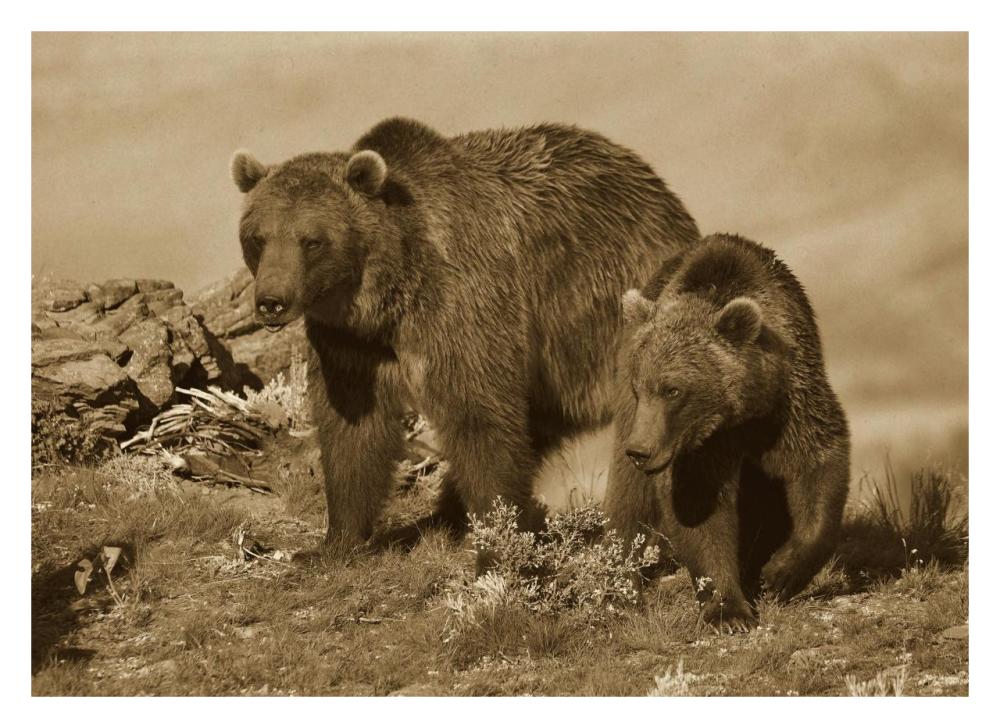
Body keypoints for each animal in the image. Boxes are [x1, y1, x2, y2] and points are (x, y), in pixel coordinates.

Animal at [229, 118, 700, 562]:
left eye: (312, 240)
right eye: (257, 237)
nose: (271, 301)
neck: (390, 297)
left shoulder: (464, 304)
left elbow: (480, 416)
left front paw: (500, 546)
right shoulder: (350, 343)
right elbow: (353, 430)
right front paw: (334, 542)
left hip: (614, 329)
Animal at [603, 233, 850, 632]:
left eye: (673, 390)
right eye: (641, 389)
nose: (640, 450)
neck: (741, 411)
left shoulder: (789, 402)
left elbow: (815, 462)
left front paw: (779, 573)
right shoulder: (701, 446)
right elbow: (700, 505)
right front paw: (729, 611)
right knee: (629, 499)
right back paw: (621, 589)